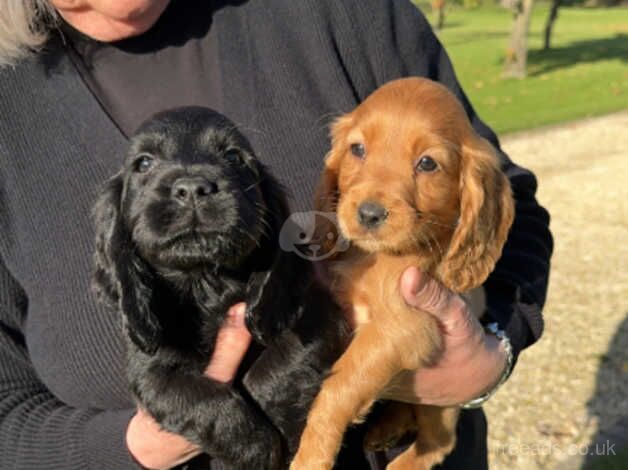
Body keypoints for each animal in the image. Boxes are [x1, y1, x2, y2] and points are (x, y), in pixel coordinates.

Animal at [92, 108, 346, 468]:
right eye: (143, 163)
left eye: (233, 157)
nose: (192, 187)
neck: (206, 284)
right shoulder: (149, 367)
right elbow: (191, 396)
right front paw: (253, 446)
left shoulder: (312, 317)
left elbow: (276, 369)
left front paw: (278, 428)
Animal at [292, 78, 512, 470]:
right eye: (357, 149)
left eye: (427, 163)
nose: (368, 213)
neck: (378, 258)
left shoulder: (403, 327)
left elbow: (339, 385)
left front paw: (310, 455)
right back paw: (386, 429)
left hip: (440, 405)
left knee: (440, 441)